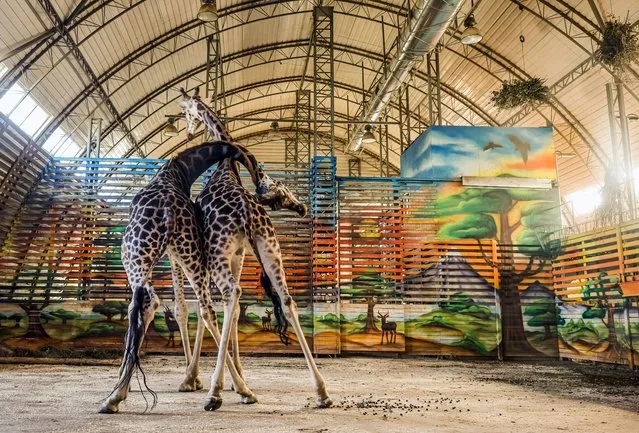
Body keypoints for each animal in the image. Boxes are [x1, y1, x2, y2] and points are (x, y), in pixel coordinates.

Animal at [99, 139, 288, 412]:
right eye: (277, 184)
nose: (296, 206)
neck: (179, 171)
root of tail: (168, 214)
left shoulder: (164, 256)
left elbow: (160, 308)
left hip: (136, 256)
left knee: (146, 303)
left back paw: (116, 396)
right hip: (191, 253)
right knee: (207, 308)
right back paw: (243, 390)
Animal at [178, 87, 332, 408]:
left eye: (186, 111)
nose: (188, 130)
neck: (225, 169)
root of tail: (247, 214)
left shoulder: (212, 253)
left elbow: (209, 310)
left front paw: (199, 378)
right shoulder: (240, 254)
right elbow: (234, 312)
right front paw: (238, 378)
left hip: (219, 254)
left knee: (230, 294)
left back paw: (214, 393)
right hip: (270, 246)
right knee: (286, 300)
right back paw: (322, 391)